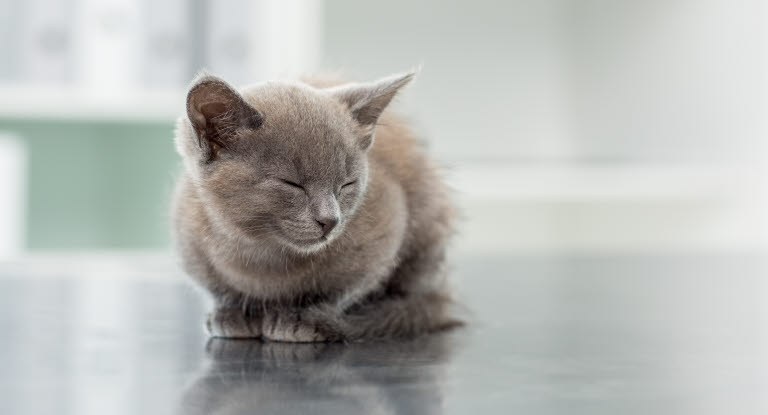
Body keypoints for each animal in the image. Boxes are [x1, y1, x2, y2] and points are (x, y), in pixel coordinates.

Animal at [173, 69, 460, 342]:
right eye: (291, 183)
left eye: (346, 184)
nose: (330, 220)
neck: (262, 253)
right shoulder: (190, 240)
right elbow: (219, 288)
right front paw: (233, 313)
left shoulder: (386, 230)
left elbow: (342, 290)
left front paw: (303, 318)